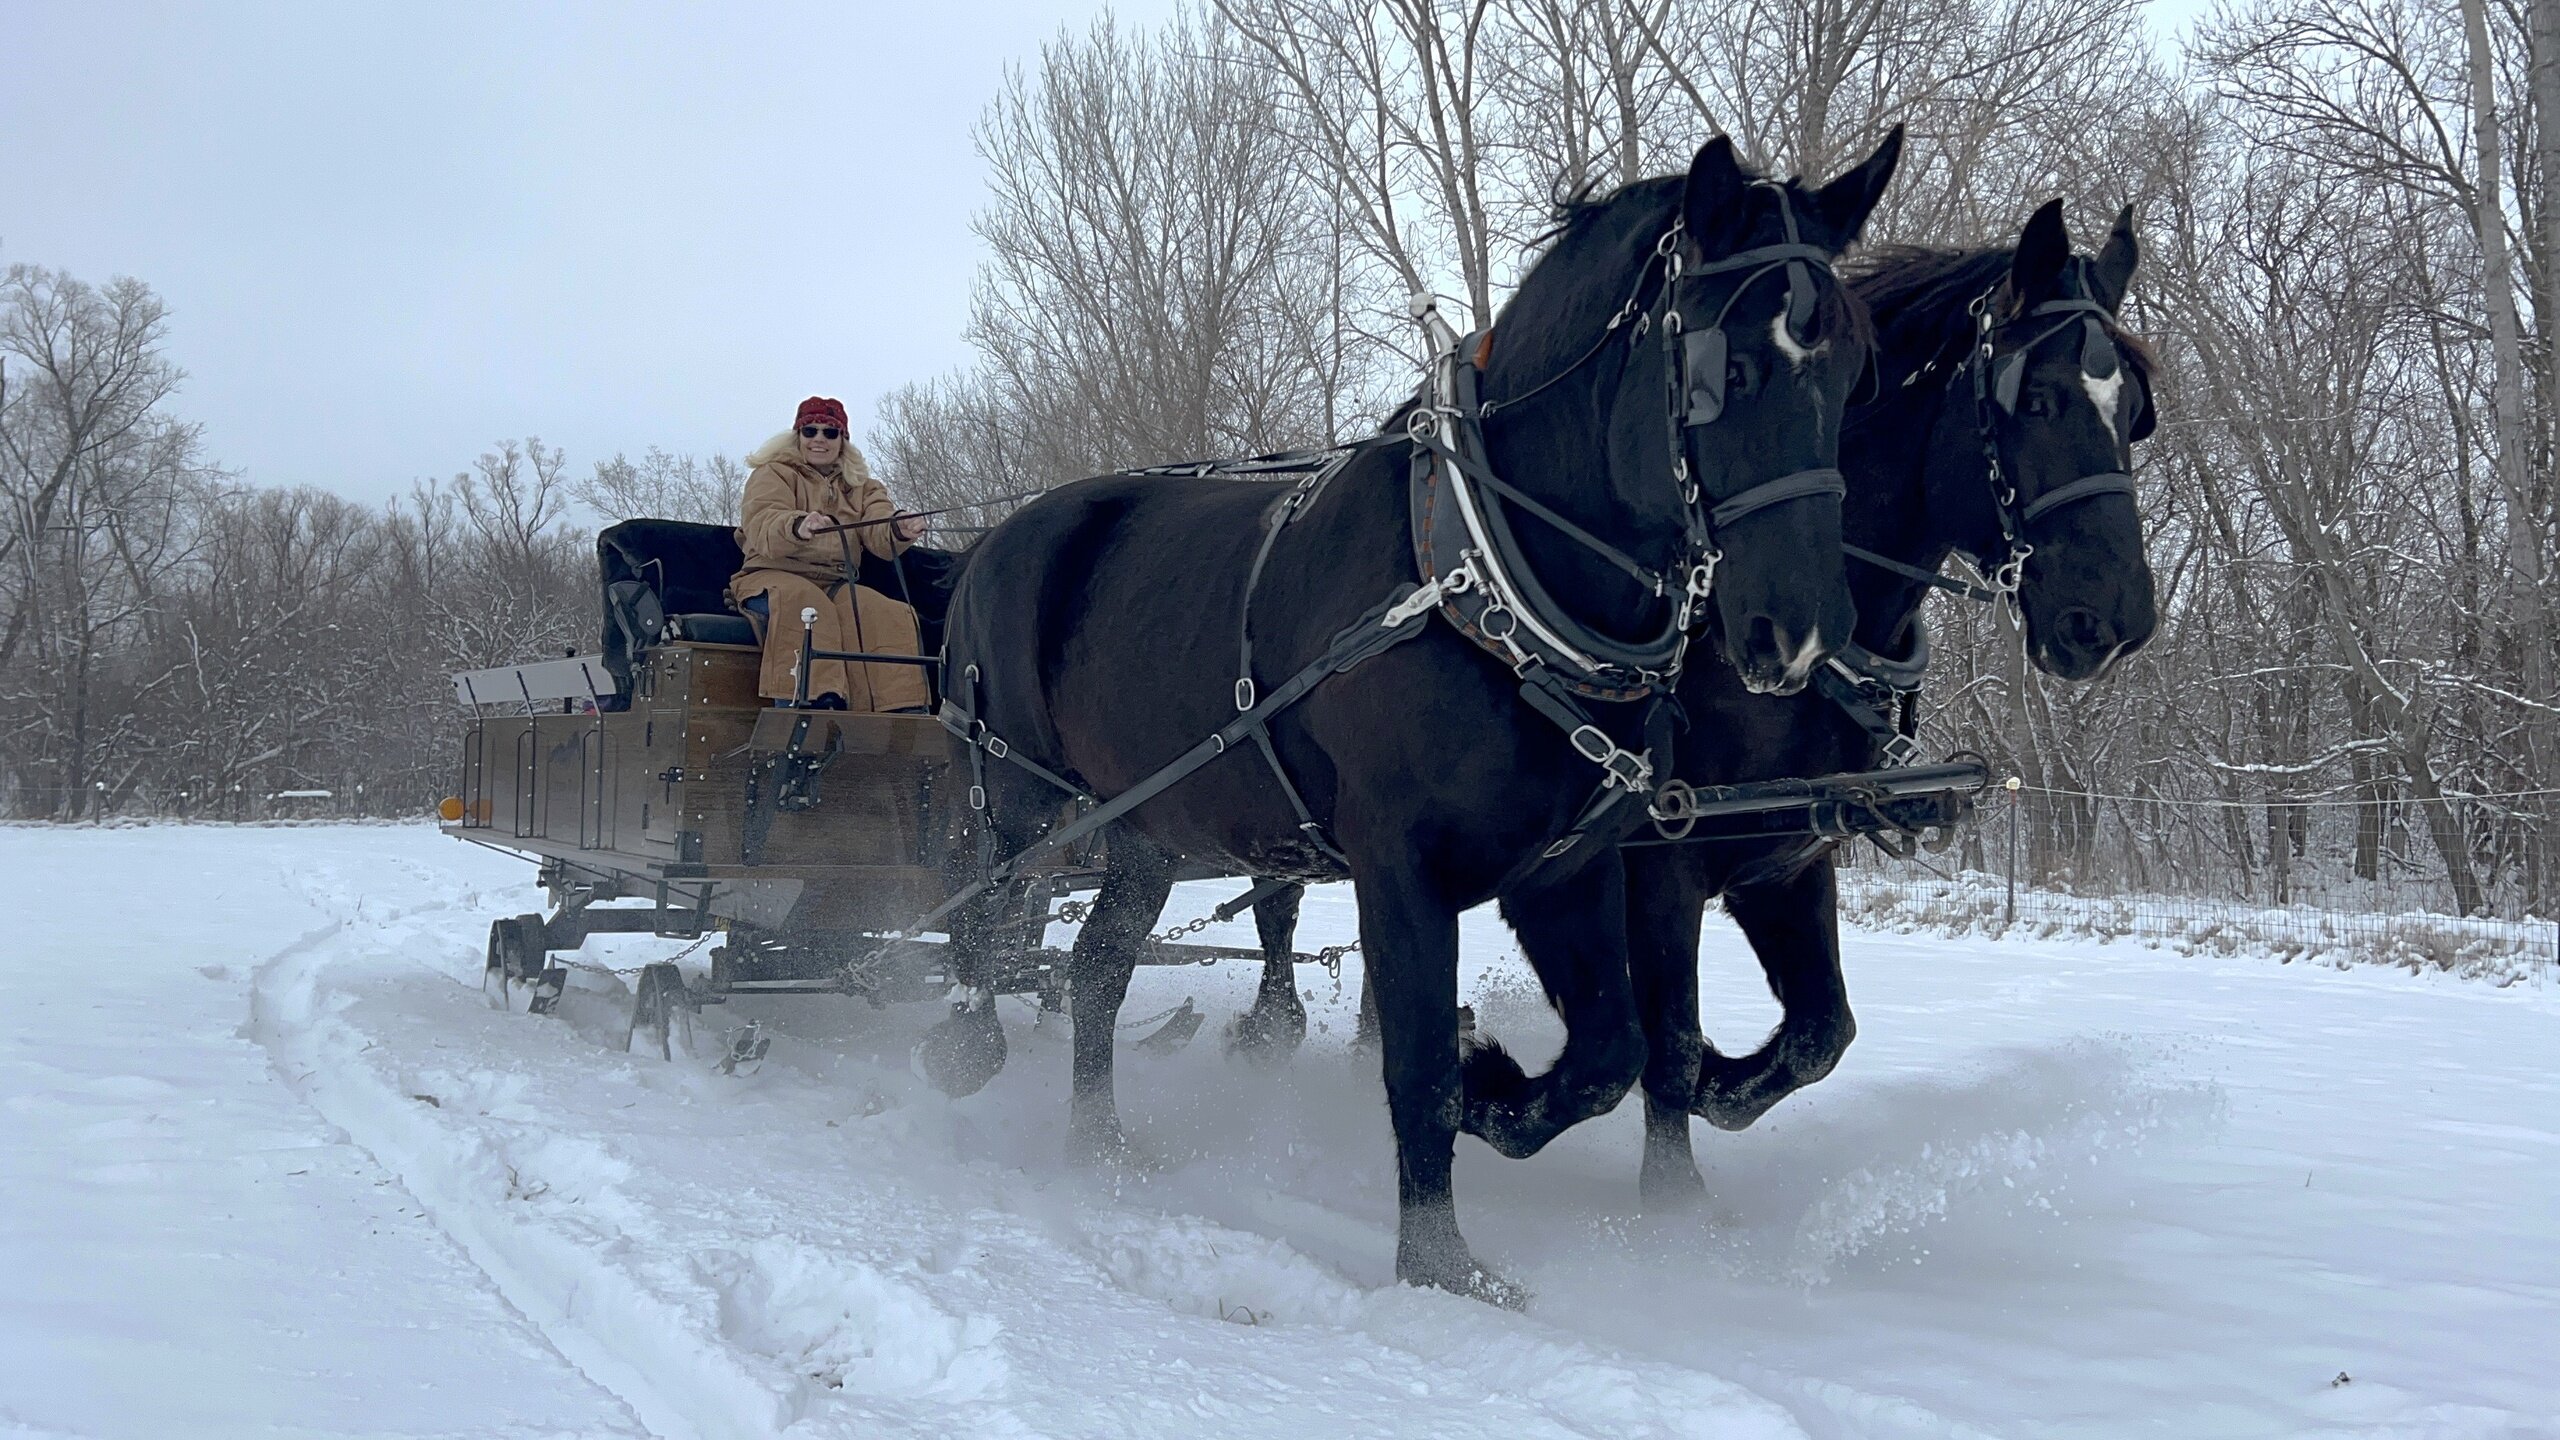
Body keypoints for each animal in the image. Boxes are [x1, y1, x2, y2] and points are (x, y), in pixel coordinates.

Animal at [922, 132, 1905, 1304]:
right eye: (1728, 372)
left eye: (1853, 376)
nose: (1799, 632)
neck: (1486, 587)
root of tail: (990, 542)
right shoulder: (1401, 867)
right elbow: (1420, 1062)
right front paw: (1439, 1265)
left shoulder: (1563, 870)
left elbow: (1609, 1055)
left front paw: (1500, 1097)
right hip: (1021, 799)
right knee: (983, 921)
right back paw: (965, 1047)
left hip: (1146, 829)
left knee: (1095, 971)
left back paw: (1096, 1147)